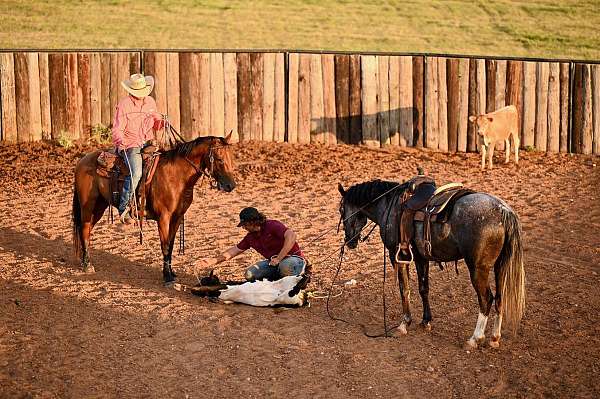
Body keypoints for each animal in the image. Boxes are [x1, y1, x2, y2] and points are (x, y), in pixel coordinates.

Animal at [71, 134, 236, 284]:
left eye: (231, 158)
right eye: (220, 159)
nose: (231, 185)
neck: (176, 176)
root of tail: (82, 160)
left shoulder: (177, 217)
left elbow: (171, 245)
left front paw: (171, 272)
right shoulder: (164, 217)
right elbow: (165, 245)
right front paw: (167, 276)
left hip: (99, 206)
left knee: (86, 230)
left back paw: (85, 260)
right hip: (88, 206)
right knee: (84, 229)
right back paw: (87, 265)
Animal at [338, 180, 524, 348]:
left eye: (341, 209)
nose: (349, 241)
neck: (388, 204)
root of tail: (503, 210)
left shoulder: (397, 256)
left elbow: (404, 289)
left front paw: (404, 324)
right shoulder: (421, 258)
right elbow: (423, 289)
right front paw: (426, 321)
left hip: (478, 269)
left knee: (486, 299)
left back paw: (475, 339)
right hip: (500, 266)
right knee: (500, 297)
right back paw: (494, 338)